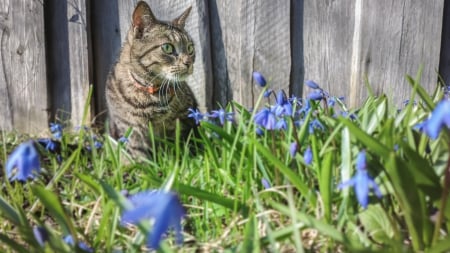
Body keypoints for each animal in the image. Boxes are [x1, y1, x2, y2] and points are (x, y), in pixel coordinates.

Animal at [106, 1, 198, 160]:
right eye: (167, 47)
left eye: (190, 48)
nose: (189, 63)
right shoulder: (132, 131)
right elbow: (141, 160)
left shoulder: (184, 121)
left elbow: (182, 150)